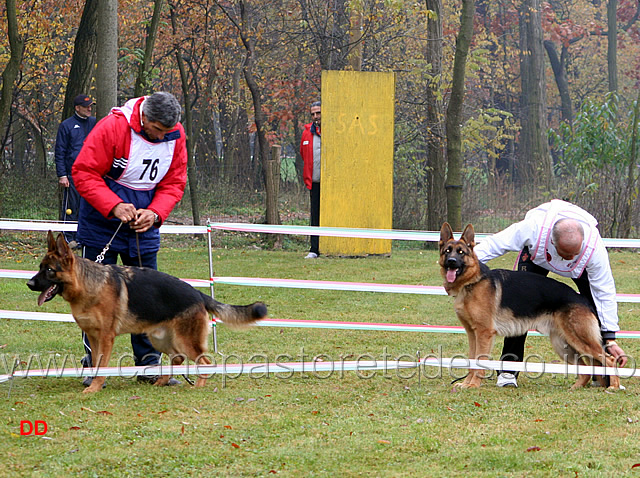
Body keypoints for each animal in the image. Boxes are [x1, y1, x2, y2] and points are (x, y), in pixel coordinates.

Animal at [26, 231, 268, 392]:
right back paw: (161, 380)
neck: (88, 285)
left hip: (185, 340)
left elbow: (102, 364)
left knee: (205, 362)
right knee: (177, 359)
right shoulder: (93, 338)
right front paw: (95, 383)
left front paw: (94, 388)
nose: (29, 283)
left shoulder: (106, 338)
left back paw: (198, 385)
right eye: (39, 267)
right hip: (159, 339)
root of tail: (198, 293)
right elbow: (95, 364)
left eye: (49, 270)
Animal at [440, 222, 620, 390]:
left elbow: (479, 361)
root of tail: (583, 300)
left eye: (461, 252)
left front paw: (473, 384)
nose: (451, 262)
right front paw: (466, 384)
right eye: (447, 251)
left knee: (610, 359)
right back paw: (576, 387)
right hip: (563, 345)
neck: (471, 282)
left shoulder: (484, 334)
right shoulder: (472, 334)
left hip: (580, 339)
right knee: (586, 368)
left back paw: (614, 386)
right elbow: (471, 360)